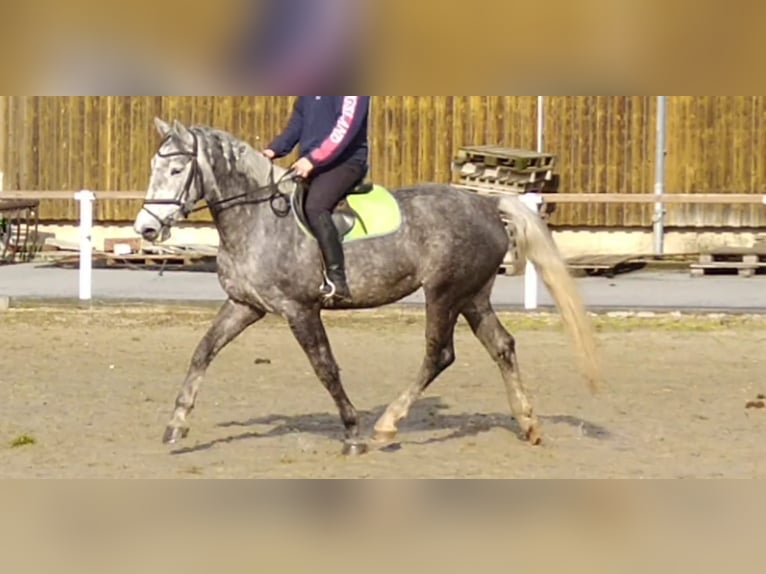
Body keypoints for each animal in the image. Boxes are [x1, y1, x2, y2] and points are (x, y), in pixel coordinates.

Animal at [134, 119, 600, 456]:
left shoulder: (300, 309)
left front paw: (353, 433)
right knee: (502, 346)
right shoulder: (244, 305)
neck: (259, 218)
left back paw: (386, 426)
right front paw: (176, 425)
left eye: (177, 169)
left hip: (444, 293)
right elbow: (203, 352)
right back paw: (528, 424)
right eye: (154, 168)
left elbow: (325, 368)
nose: (146, 229)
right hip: (473, 295)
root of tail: (485, 203)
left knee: (439, 354)